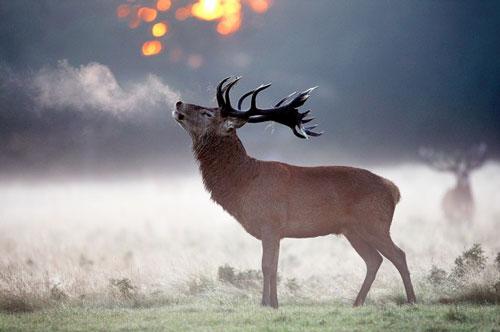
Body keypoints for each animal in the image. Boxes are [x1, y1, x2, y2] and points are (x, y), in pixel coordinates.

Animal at [174, 76, 416, 308]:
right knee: (374, 260)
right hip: (352, 230)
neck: (243, 183)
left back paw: (412, 300)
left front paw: (265, 304)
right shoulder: (276, 232)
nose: (178, 103)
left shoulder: (270, 223)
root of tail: (393, 189)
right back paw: (357, 303)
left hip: (375, 223)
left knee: (399, 255)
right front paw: (274, 303)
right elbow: (274, 266)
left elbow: (266, 266)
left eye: (207, 113)